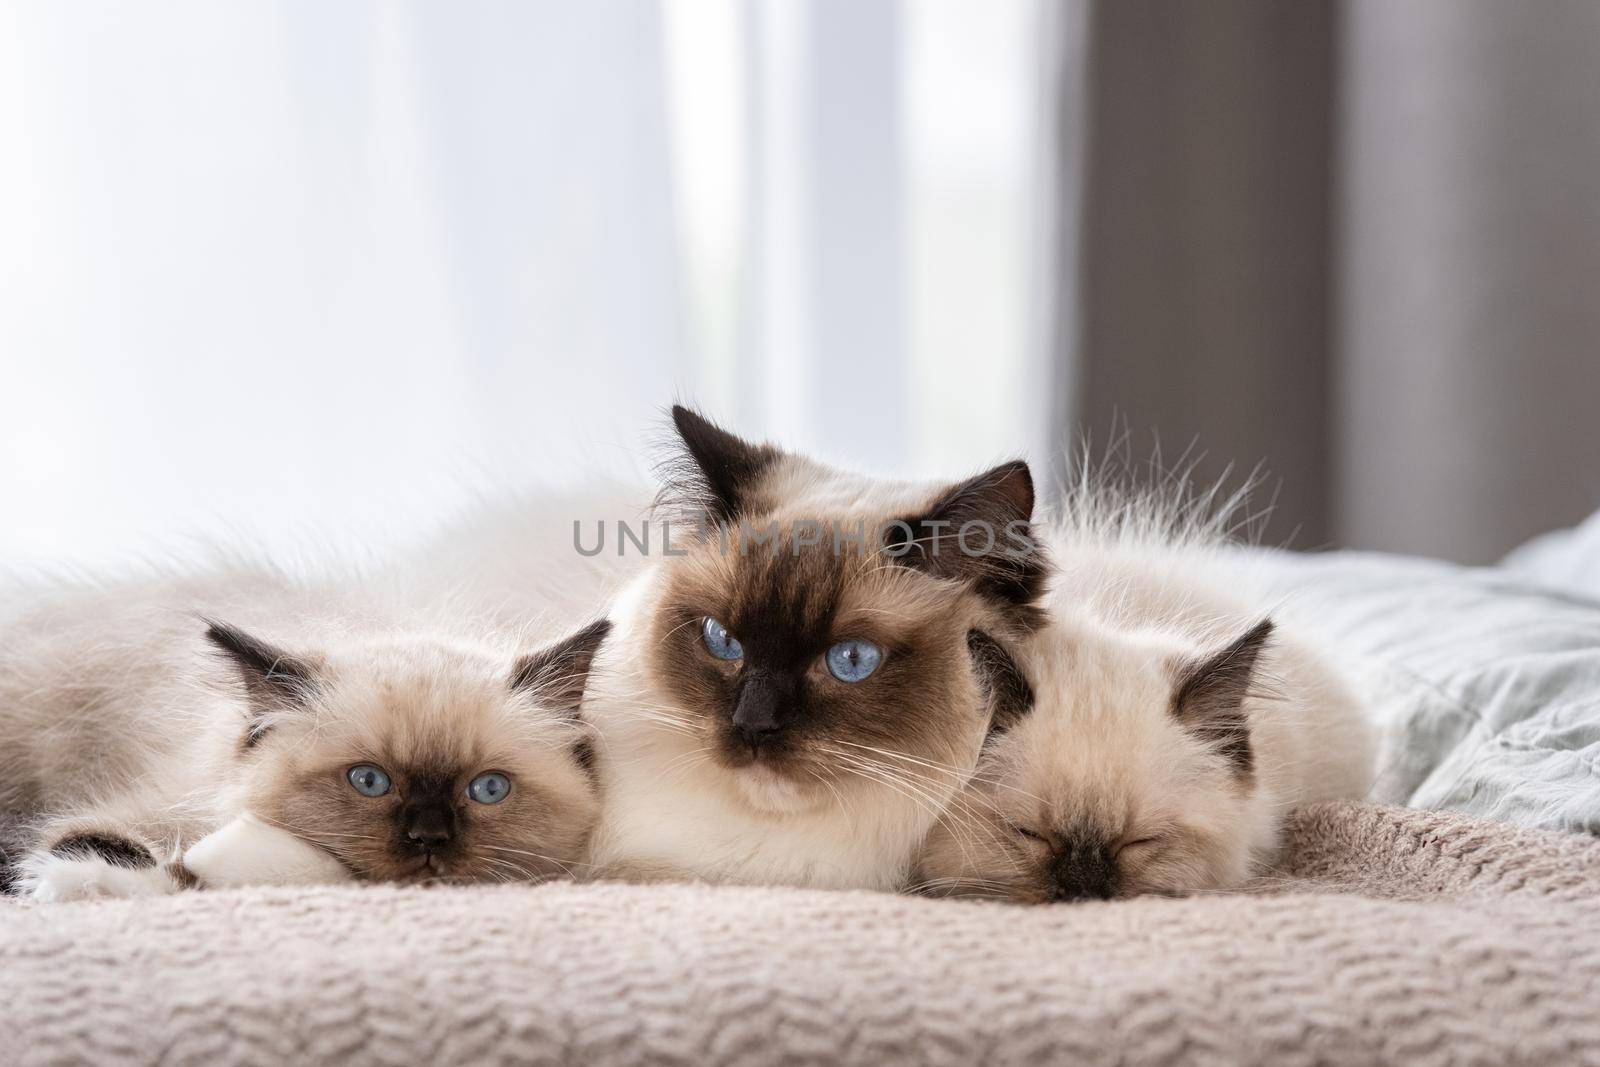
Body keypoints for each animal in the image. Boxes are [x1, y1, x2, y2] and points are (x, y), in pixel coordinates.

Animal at [0, 566, 611, 902]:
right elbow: (112, 849)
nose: (429, 838)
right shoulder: (145, 806)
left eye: (488, 790)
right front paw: (77, 885)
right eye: (369, 781)